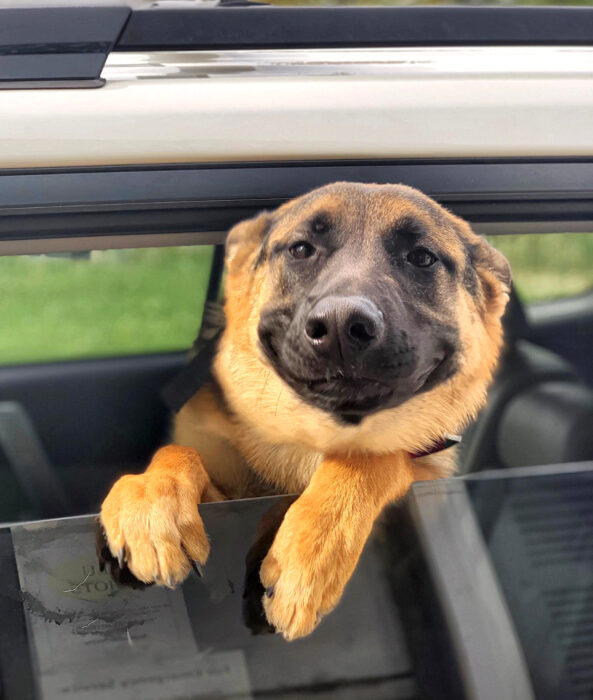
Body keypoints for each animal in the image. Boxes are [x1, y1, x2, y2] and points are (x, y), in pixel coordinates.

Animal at [100, 180, 508, 640]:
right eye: (300, 249)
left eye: (421, 257)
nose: (341, 326)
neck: (310, 436)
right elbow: (178, 453)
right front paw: (150, 498)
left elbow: (372, 459)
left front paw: (310, 554)